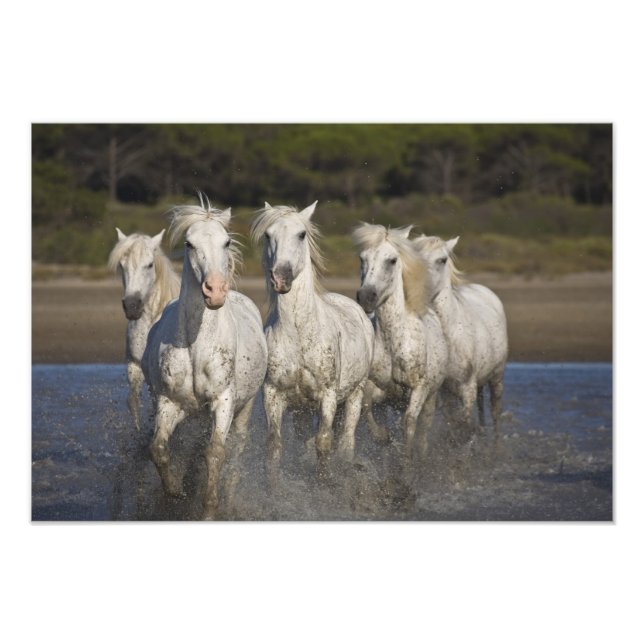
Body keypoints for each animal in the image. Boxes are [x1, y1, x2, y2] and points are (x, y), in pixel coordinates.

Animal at [141, 195, 268, 519]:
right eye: (189, 244)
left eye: (226, 242)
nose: (215, 291)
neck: (197, 347)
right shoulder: (169, 402)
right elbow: (159, 449)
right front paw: (174, 491)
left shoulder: (224, 401)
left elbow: (215, 452)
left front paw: (210, 507)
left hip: (245, 408)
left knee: (236, 450)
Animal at [250, 201, 374, 472]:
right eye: (268, 235)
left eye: (301, 234)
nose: (281, 277)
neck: (299, 333)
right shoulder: (273, 395)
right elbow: (274, 446)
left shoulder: (327, 396)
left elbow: (324, 442)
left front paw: (323, 479)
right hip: (303, 410)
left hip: (354, 394)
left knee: (346, 441)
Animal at [353, 223, 448, 459]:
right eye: (362, 258)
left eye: (392, 260)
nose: (366, 297)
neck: (393, 343)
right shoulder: (378, 389)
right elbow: (366, 407)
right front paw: (382, 436)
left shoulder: (419, 388)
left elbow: (409, 422)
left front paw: (406, 459)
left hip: (431, 398)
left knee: (423, 428)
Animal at [412, 235, 508, 440]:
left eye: (442, 260)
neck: (449, 337)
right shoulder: (443, 391)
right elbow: (453, 422)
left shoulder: (467, 386)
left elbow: (463, 422)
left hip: (497, 377)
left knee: (495, 413)